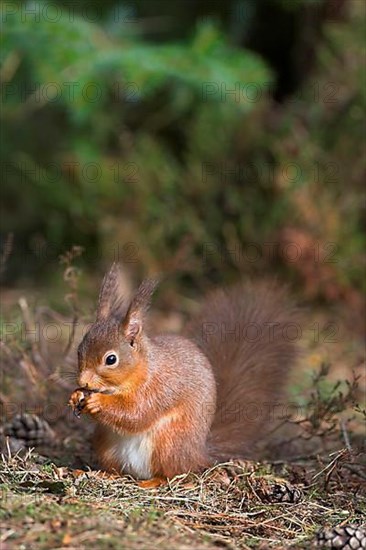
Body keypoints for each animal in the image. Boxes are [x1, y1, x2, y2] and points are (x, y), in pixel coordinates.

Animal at [70, 266, 298, 486]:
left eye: (111, 359)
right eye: (79, 350)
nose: (82, 382)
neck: (140, 370)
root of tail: (198, 454)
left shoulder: (160, 388)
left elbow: (137, 413)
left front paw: (98, 402)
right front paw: (75, 396)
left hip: (169, 445)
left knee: (176, 472)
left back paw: (154, 482)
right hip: (105, 444)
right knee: (118, 470)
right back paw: (103, 474)